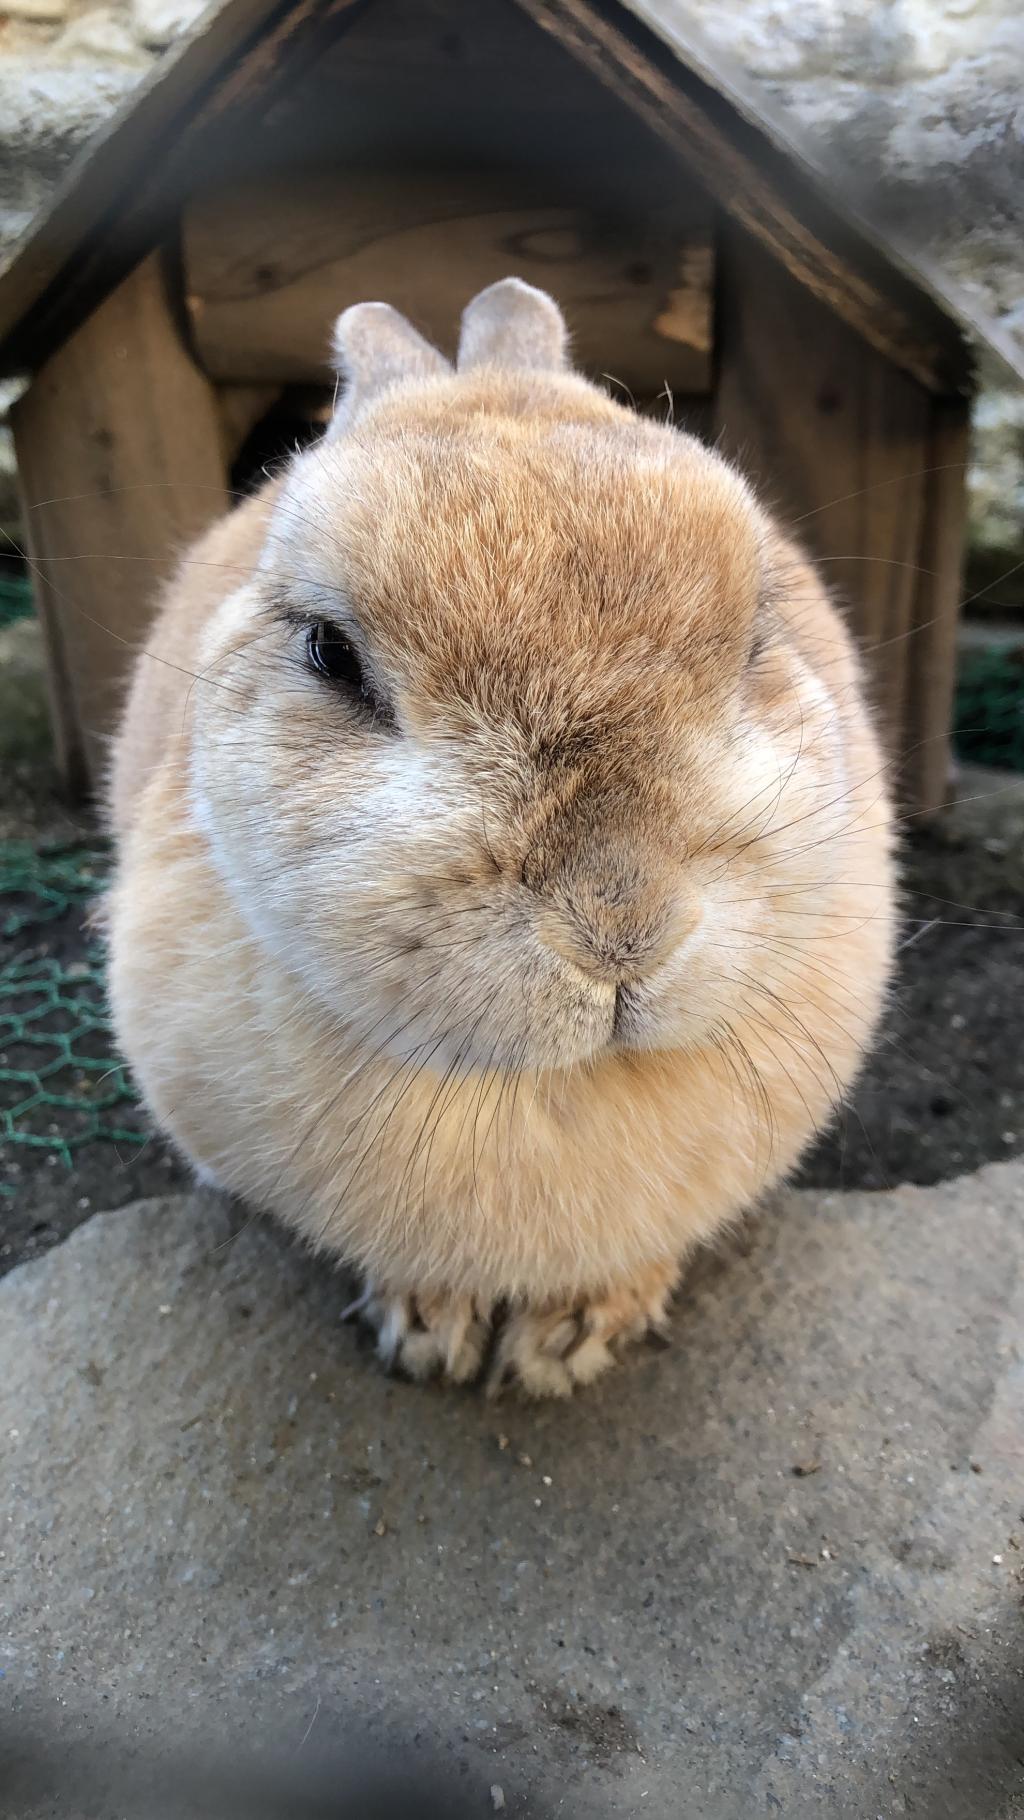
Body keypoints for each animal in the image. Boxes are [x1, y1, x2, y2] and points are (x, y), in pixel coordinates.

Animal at [106, 276, 898, 1397]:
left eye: (756, 639)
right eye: (328, 653)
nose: (623, 928)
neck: (542, 1088)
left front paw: (568, 1343)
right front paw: (431, 1332)